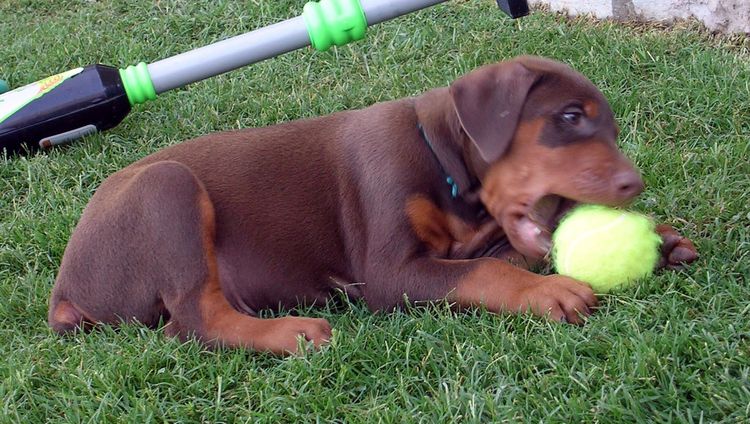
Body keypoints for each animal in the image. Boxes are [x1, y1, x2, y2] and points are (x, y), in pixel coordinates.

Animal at [51, 56, 700, 354]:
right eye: (569, 117)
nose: (633, 184)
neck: (443, 163)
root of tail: (63, 290)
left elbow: (496, 257)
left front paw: (662, 239)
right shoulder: (388, 271)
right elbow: (484, 272)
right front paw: (552, 293)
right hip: (168, 189)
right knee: (194, 322)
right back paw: (292, 333)